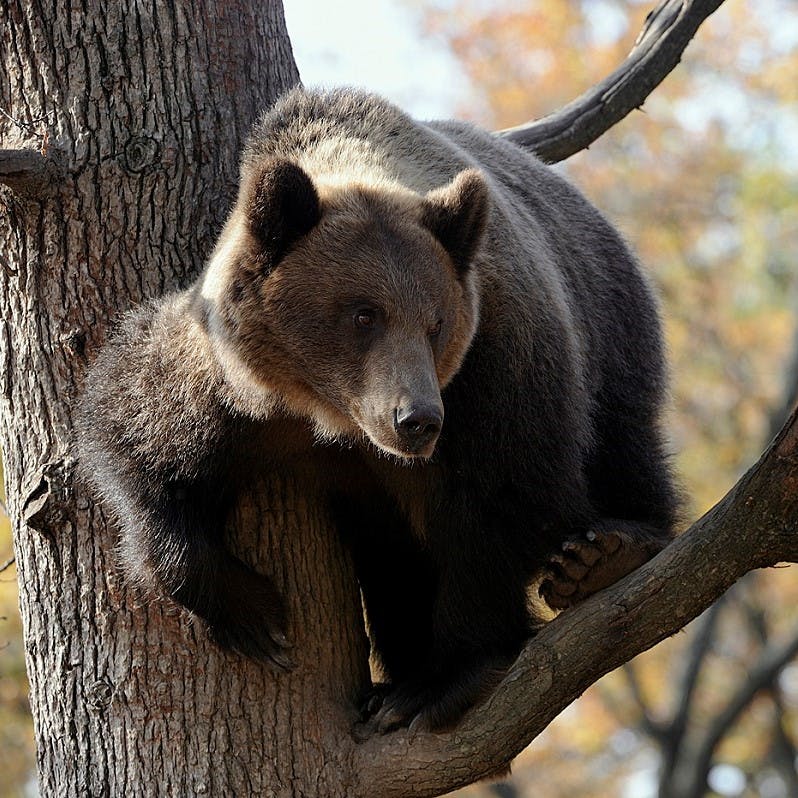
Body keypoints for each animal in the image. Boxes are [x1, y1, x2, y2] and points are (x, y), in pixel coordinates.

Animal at [76, 86, 680, 732]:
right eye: (364, 314)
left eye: (435, 324)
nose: (416, 420)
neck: (328, 413)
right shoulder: (230, 383)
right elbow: (140, 437)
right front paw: (256, 616)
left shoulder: (496, 364)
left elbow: (502, 496)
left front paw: (440, 680)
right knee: (392, 560)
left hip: (609, 323)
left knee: (622, 440)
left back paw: (605, 552)